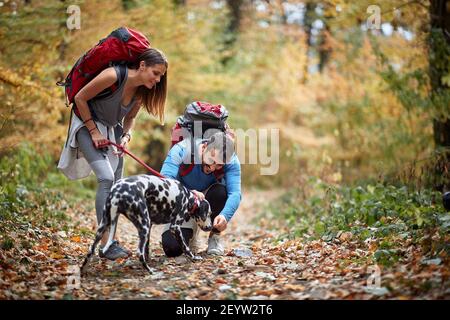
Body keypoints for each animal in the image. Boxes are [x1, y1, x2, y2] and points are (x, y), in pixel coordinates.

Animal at [81, 174, 213, 274]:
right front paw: (194, 257)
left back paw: (83, 271)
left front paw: (149, 259)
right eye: (209, 214)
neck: (188, 198)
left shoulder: (150, 227)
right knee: (139, 253)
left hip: (104, 227)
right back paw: (150, 271)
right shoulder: (175, 227)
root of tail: (118, 193)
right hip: (143, 226)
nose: (211, 227)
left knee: (90, 251)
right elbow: (186, 247)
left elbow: (147, 249)